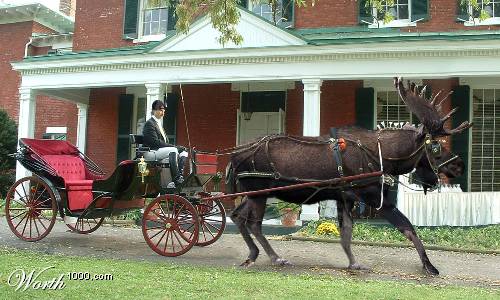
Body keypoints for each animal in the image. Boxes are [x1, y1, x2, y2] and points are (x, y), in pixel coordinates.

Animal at [227, 77, 472, 274]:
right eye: (435, 147)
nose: (459, 165)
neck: (386, 159)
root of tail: (233, 156)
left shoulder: (345, 198)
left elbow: (346, 235)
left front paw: (354, 263)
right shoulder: (373, 197)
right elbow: (408, 228)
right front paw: (429, 265)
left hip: (253, 192)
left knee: (237, 216)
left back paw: (252, 255)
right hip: (258, 192)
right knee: (253, 223)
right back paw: (275, 257)